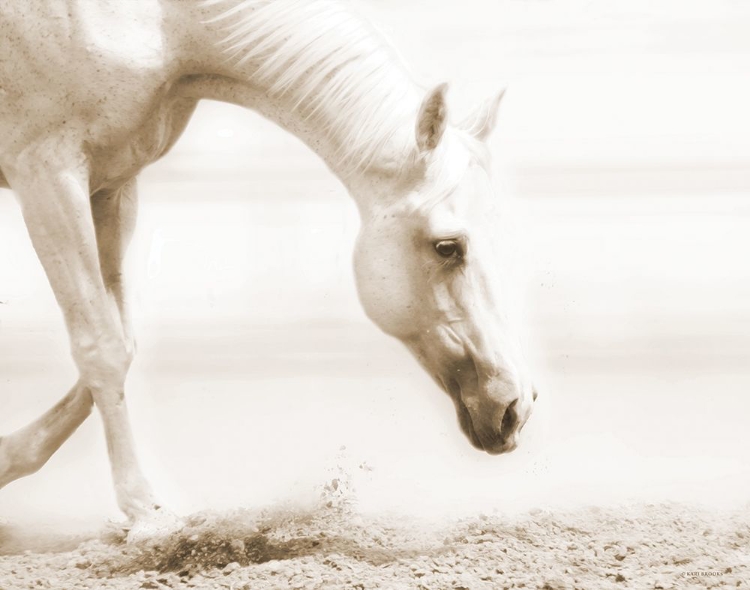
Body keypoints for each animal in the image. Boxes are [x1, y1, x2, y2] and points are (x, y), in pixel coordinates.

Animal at [1, 0, 540, 536]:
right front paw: (147, 513)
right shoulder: (47, 172)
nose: (514, 407)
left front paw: (7, 457)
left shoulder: (112, 185)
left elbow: (121, 341)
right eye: (447, 247)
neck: (162, 23)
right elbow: (101, 347)